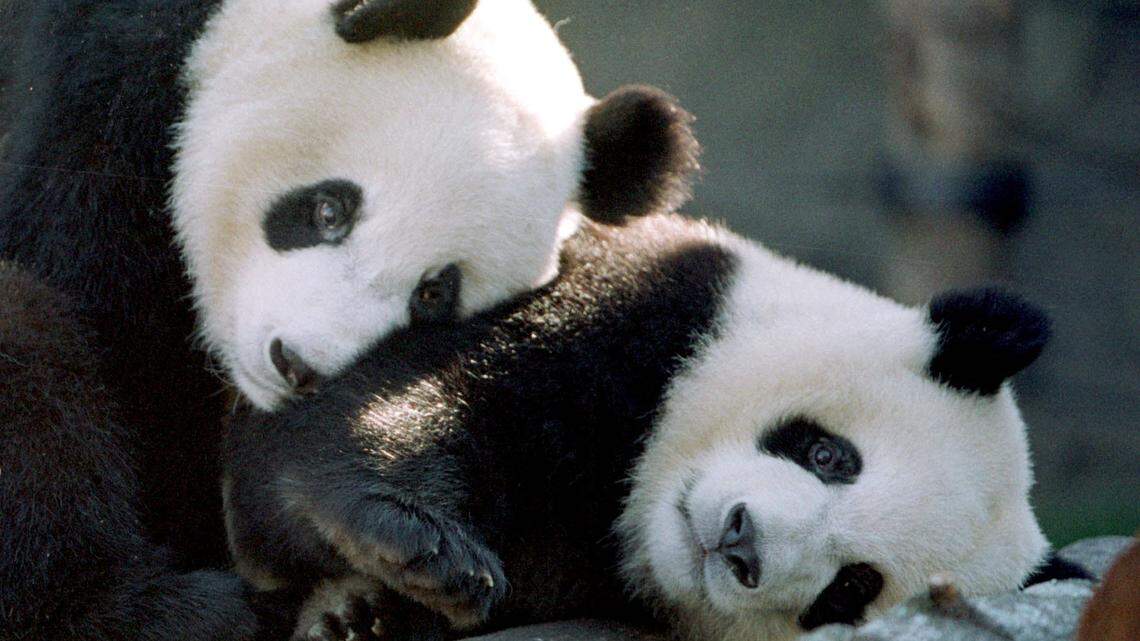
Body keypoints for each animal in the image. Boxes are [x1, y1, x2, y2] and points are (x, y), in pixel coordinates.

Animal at [223, 212, 1063, 641]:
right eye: (829, 454)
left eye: (850, 587)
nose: (740, 540)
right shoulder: (643, 298)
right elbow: (416, 396)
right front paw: (422, 546)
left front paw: (364, 612)